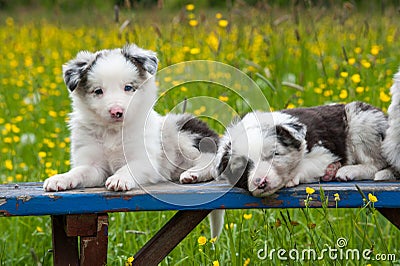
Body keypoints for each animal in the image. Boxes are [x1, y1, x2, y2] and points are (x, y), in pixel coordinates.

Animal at [43, 44, 219, 192]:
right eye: (98, 91)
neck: (113, 132)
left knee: (212, 158)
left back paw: (193, 173)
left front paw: (119, 179)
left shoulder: (144, 159)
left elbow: (129, 168)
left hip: (182, 130)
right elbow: (79, 171)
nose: (116, 111)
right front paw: (60, 178)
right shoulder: (93, 164)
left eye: (128, 87)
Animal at [214, 103, 390, 196]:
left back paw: (347, 171)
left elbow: (306, 164)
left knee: (376, 164)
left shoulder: (325, 152)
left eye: (275, 155)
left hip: (364, 123)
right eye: (243, 167)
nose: (261, 182)